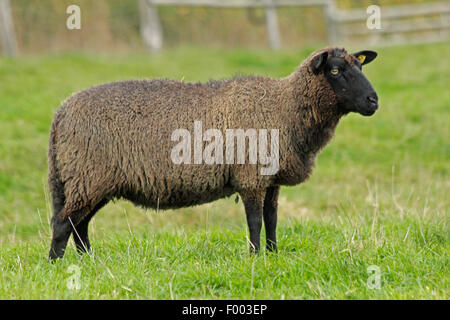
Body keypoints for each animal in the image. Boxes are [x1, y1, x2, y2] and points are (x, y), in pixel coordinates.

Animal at [47, 46, 378, 258]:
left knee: (79, 223)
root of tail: (61, 113)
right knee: (64, 223)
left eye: (361, 66)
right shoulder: (251, 176)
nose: (374, 101)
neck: (283, 106)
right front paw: (255, 257)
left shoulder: (270, 180)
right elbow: (255, 220)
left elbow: (272, 219)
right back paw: (56, 265)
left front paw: (273, 254)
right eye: (335, 70)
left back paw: (89, 260)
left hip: (90, 180)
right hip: (87, 175)